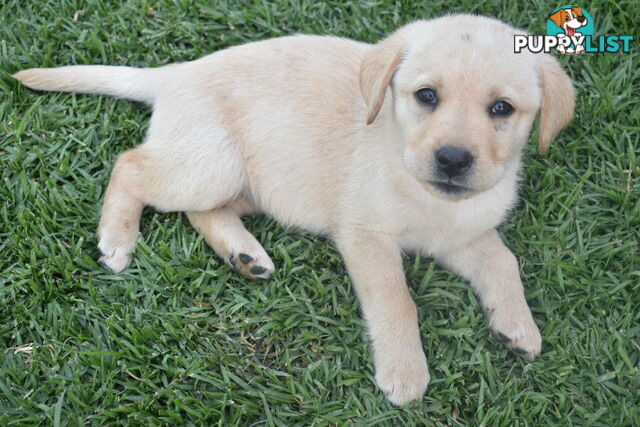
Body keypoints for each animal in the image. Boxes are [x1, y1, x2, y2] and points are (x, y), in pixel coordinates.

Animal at [13, 15, 576, 406]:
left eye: (502, 108)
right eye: (426, 96)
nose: (454, 159)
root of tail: (174, 74)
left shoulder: (463, 233)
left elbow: (504, 261)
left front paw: (517, 326)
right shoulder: (365, 235)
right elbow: (397, 300)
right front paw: (404, 371)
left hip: (253, 182)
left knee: (200, 211)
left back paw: (244, 255)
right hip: (211, 163)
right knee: (130, 164)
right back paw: (117, 238)